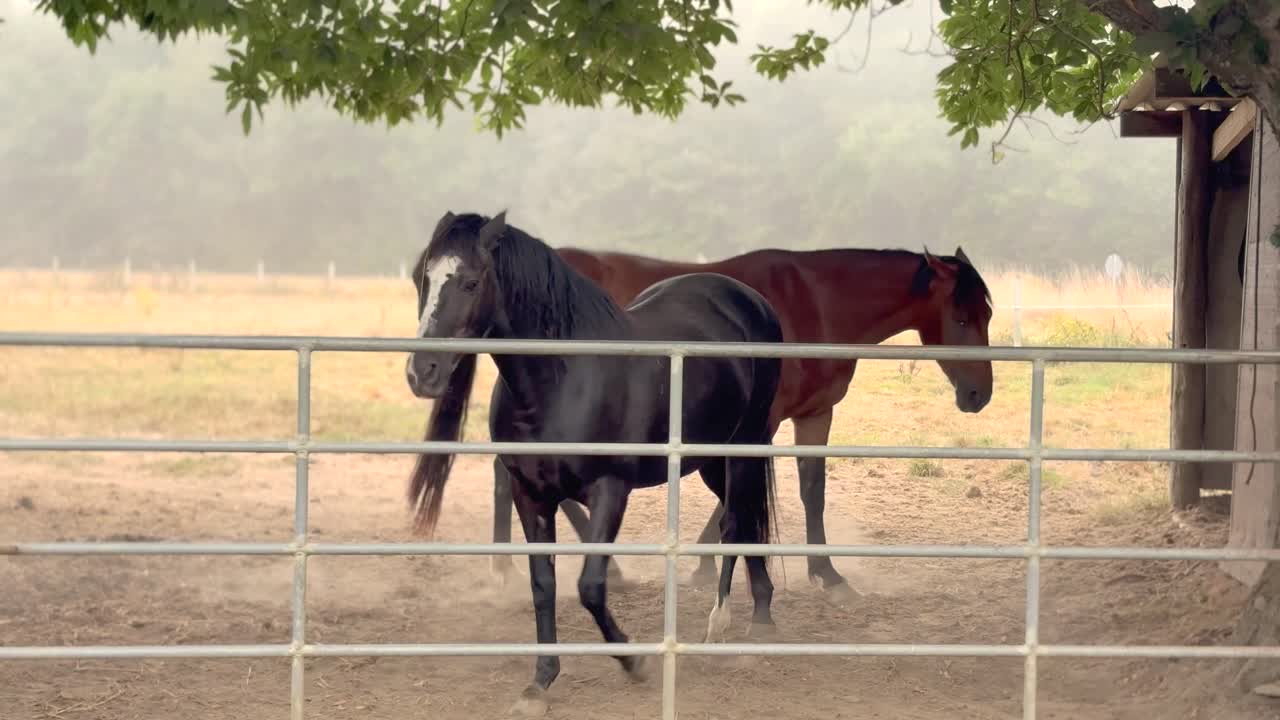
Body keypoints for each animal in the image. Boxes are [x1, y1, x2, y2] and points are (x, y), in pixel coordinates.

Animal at [404, 211, 785, 715]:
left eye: (470, 282)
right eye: (420, 279)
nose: (422, 372)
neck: (562, 380)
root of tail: (749, 300)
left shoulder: (609, 490)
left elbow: (589, 585)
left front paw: (636, 663)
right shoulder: (530, 495)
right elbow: (543, 584)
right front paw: (540, 683)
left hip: (743, 447)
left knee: (736, 521)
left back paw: (721, 625)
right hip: (709, 460)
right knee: (746, 519)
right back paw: (761, 617)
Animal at [491, 244, 995, 600]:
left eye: (987, 314)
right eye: (961, 317)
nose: (979, 395)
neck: (815, 301)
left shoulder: (813, 415)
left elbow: (811, 490)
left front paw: (826, 572)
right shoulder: (759, 423)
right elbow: (741, 492)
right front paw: (708, 562)